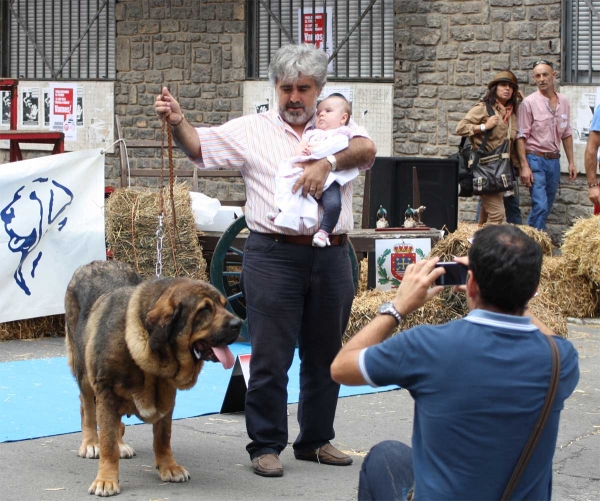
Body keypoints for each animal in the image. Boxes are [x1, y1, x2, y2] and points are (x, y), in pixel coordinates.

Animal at [64, 260, 243, 494]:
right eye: (204, 310)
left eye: (224, 304)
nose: (238, 324)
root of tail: (94, 263)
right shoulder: (106, 391)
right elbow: (108, 444)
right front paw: (106, 480)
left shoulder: (166, 398)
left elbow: (162, 437)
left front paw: (169, 467)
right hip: (84, 370)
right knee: (88, 408)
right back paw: (91, 443)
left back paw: (120, 444)